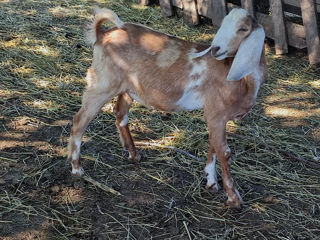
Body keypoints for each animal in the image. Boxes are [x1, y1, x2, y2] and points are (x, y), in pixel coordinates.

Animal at [68, 7, 268, 208]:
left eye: (243, 29)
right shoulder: (216, 113)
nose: (215, 49)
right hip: (103, 83)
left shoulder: (216, 116)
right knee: (79, 121)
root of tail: (102, 34)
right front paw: (234, 198)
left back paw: (134, 154)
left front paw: (211, 183)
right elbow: (224, 152)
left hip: (127, 88)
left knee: (120, 114)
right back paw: (77, 170)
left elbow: (213, 146)